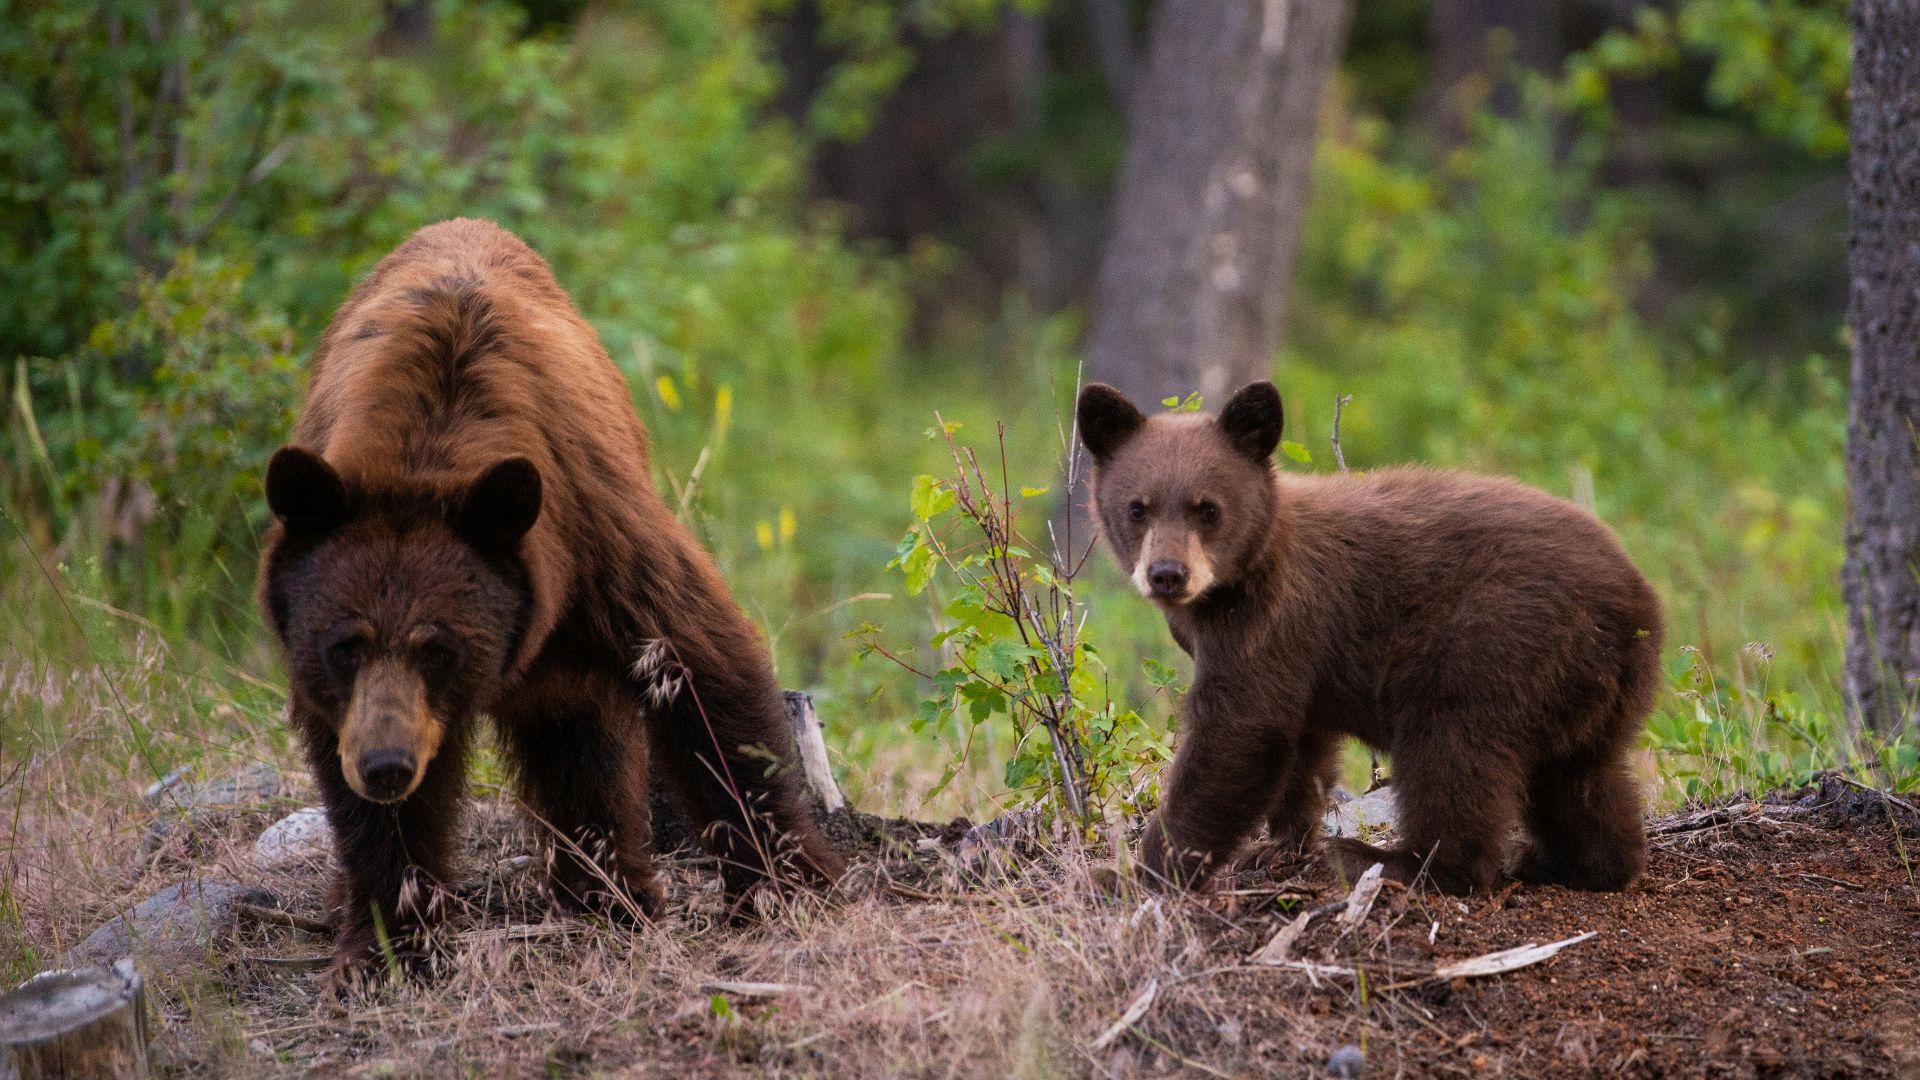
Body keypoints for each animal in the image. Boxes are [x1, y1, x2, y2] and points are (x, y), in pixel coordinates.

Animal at [258, 218, 844, 980]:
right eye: (344, 646)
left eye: (438, 647)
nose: (387, 766)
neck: (426, 449)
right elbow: (367, 807)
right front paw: (390, 942)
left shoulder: (599, 537)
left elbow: (703, 673)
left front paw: (787, 884)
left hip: (570, 656)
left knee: (582, 749)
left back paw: (609, 893)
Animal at [1076, 380, 1663, 895]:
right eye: (1137, 507)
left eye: (1208, 508)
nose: (1167, 574)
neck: (1239, 577)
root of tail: (1636, 606)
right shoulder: (1297, 655)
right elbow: (1300, 744)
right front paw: (1280, 845)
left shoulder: (1272, 620)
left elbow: (1238, 733)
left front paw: (1138, 874)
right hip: (1587, 689)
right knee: (1581, 778)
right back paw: (1575, 863)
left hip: (1495, 644)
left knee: (1453, 752)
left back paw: (1397, 861)